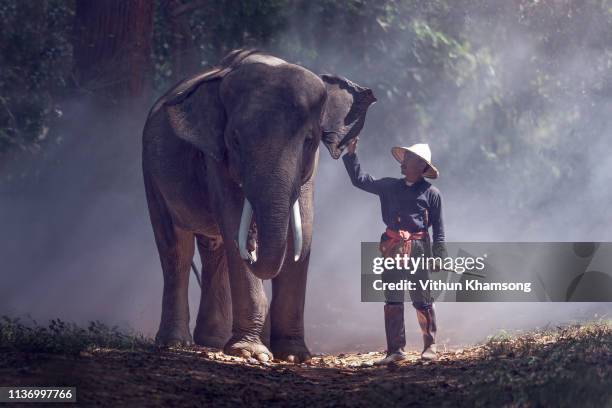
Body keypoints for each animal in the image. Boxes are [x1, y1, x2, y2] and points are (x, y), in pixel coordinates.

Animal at [142, 49, 376, 362]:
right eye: (235, 140)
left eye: (309, 140)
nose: (254, 244)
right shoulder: (216, 159)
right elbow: (233, 224)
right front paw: (252, 353)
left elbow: (302, 233)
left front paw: (293, 355)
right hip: (151, 172)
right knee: (176, 248)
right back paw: (175, 343)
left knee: (214, 250)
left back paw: (214, 341)